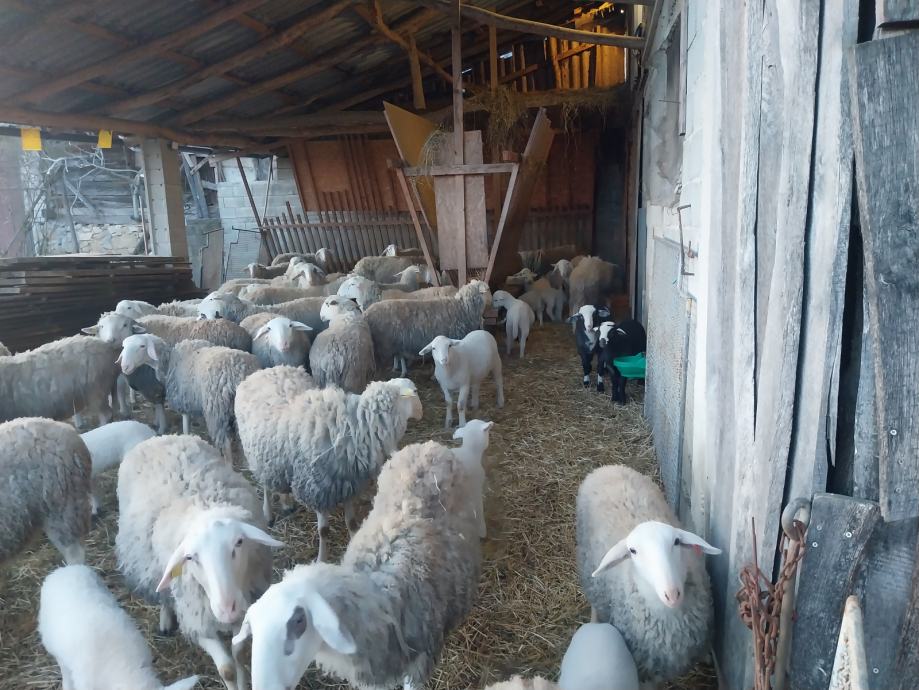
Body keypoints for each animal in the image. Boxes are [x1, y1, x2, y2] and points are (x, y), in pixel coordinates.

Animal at [117, 434, 283, 690]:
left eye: (239, 542)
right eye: (190, 558)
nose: (227, 608)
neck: (202, 505)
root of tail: (159, 438)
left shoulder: (244, 609)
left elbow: (239, 654)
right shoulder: (196, 620)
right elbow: (226, 669)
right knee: (163, 594)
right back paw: (166, 619)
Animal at [118, 334, 259, 458]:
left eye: (142, 346)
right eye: (123, 346)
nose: (124, 367)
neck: (169, 361)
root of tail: (239, 371)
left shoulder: (183, 399)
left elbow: (186, 426)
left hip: (216, 409)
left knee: (225, 445)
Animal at [235, 370, 422, 560]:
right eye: (414, 391)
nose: (421, 414)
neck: (354, 427)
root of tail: (262, 372)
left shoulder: (348, 485)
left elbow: (352, 523)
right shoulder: (317, 491)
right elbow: (323, 531)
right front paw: (321, 558)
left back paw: (287, 503)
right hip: (259, 457)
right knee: (265, 486)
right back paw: (268, 513)